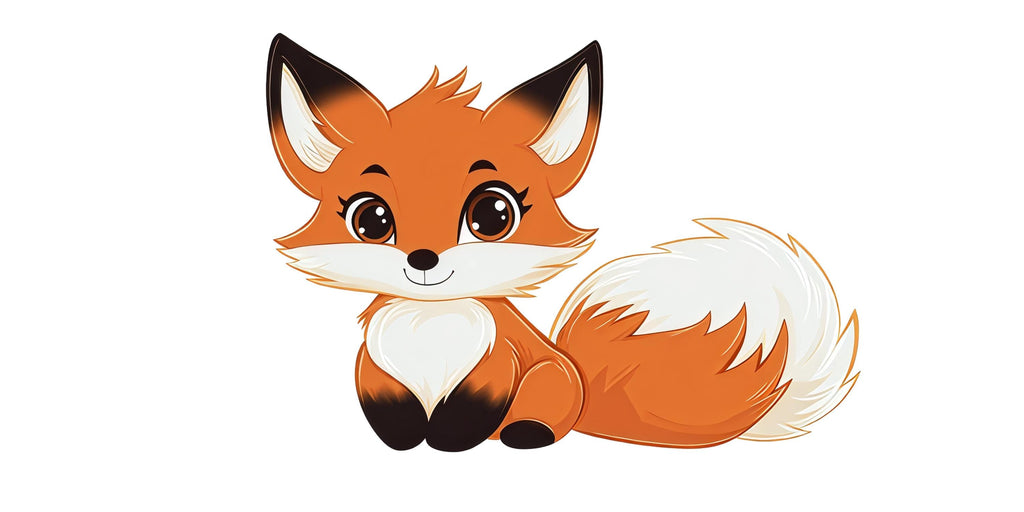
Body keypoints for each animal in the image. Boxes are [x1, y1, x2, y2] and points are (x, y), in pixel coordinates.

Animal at [265, 34, 860, 451]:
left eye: (492, 214)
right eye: (371, 220)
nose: (423, 259)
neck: (430, 326)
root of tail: (585, 399)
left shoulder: (499, 368)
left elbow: (469, 413)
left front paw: (451, 443)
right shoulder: (377, 376)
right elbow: (393, 416)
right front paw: (407, 443)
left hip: (550, 377)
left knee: (539, 418)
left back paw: (524, 434)